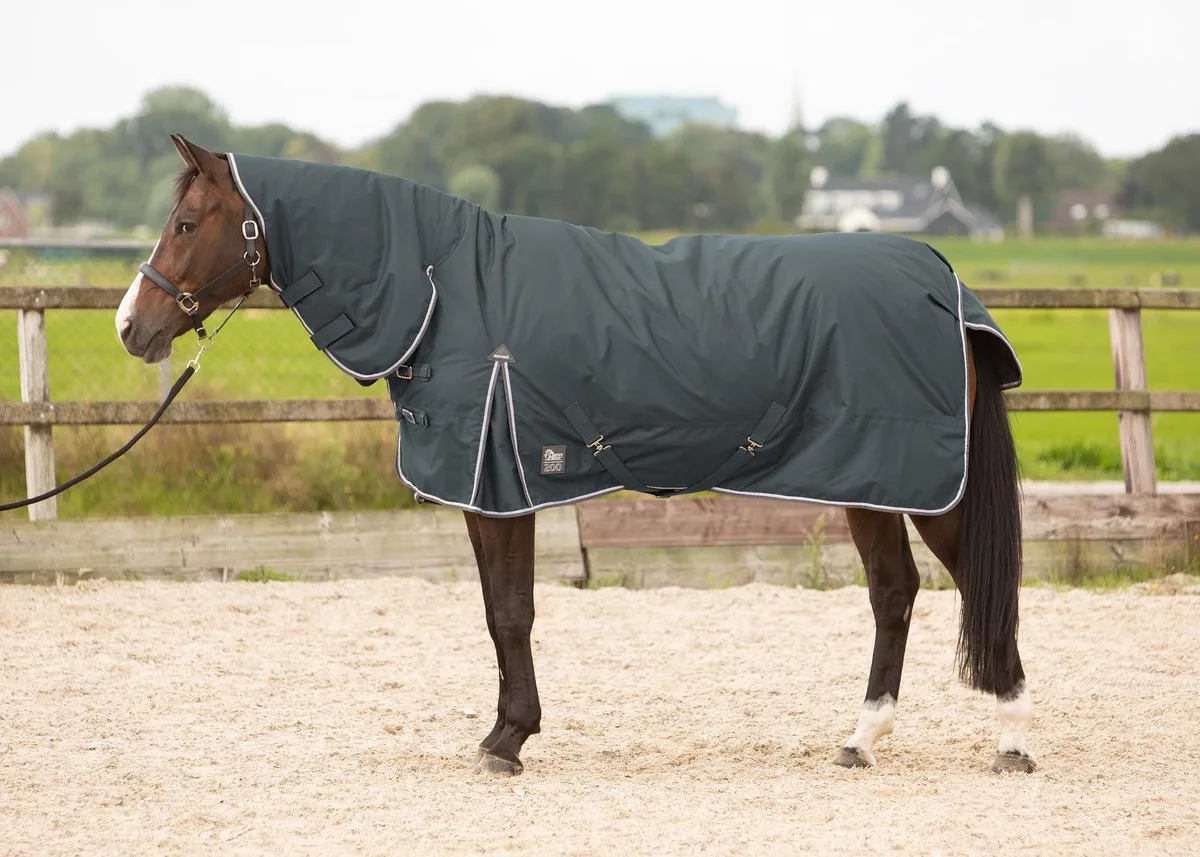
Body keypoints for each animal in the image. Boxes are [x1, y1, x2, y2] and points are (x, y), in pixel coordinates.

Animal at [116, 134, 1035, 776]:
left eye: (186, 224)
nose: (132, 326)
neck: (446, 289)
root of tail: (942, 278)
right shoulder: (491, 489)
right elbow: (499, 609)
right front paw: (503, 732)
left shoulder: (500, 485)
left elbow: (511, 612)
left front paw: (507, 740)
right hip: (868, 477)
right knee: (894, 591)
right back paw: (861, 738)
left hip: (923, 483)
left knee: (980, 587)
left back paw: (1011, 737)